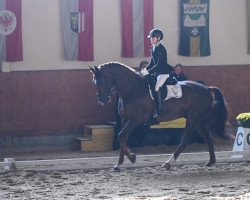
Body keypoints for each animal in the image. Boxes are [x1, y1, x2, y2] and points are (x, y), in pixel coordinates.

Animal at [89, 61, 232, 170]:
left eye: (101, 81)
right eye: (94, 82)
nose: (102, 100)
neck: (132, 89)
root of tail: (207, 88)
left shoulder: (135, 119)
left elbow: (120, 136)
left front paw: (132, 157)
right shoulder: (125, 120)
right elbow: (122, 138)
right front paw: (118, 164)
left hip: (194, 119)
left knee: (186, 139)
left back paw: (168, 163)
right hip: (199, 120)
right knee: (208, 138)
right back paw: (210, 162)